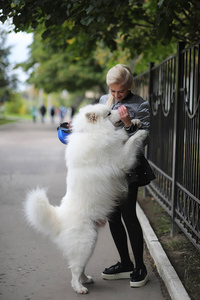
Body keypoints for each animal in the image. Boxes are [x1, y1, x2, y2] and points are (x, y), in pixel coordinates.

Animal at [24, 102, 147, 292]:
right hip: (86, 242)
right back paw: (79, 288)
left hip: (90, 243)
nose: (123, 109)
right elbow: (130, 143)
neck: (92, 131)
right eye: (109, 113)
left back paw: (86, 280)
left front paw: (134, 123)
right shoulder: (120, 160)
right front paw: (141, 133)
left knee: (80, 267)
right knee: (74, 269)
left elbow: (124, 135)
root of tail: (60, 217)